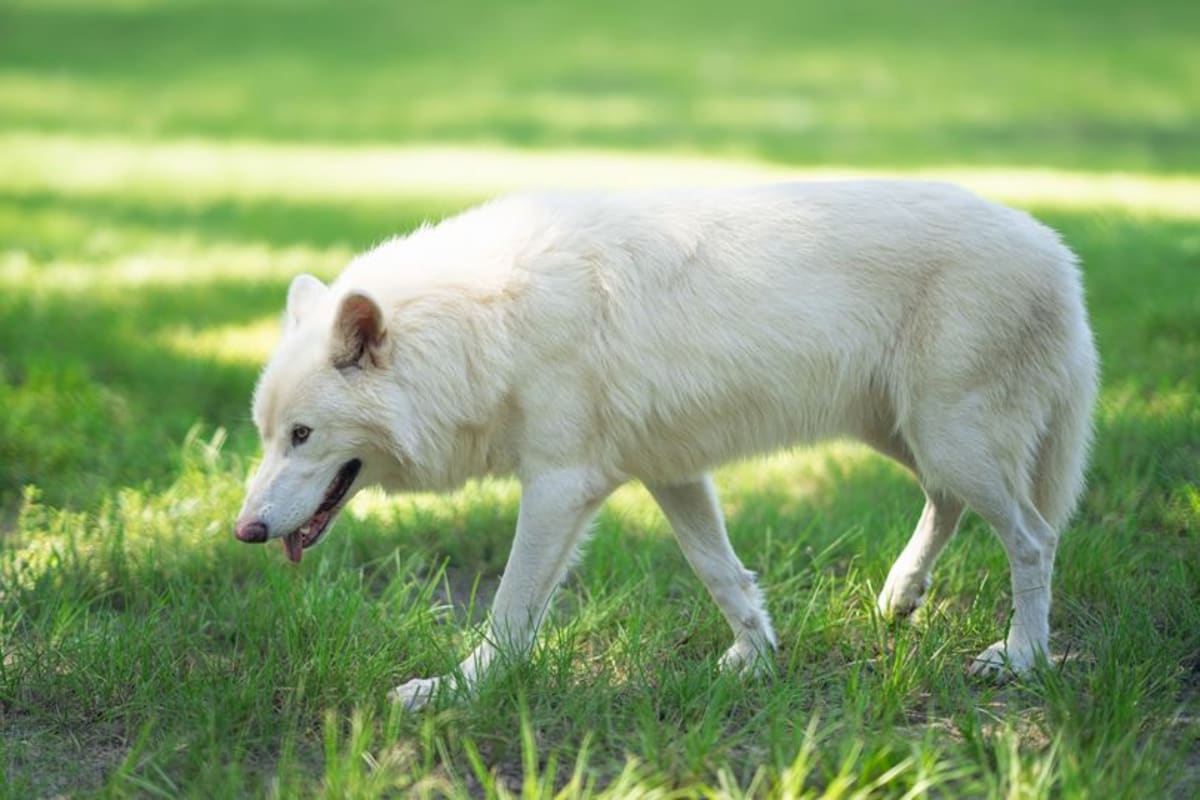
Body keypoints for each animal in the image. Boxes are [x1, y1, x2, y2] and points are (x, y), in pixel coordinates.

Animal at [234, 181, 1098, 710]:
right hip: (912, 437)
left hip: (951, 441)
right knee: (950, 505)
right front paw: (757, 661)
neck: (486, 326)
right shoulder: (673, 473)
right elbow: (723, 575)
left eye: (302, 435)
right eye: (266, 436)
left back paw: (1019, 656)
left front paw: (453, 692)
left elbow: (509, 614)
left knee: (1034, 538)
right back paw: (900, 595)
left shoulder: (557, 489)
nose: (244, 531)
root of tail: (1057, 251)